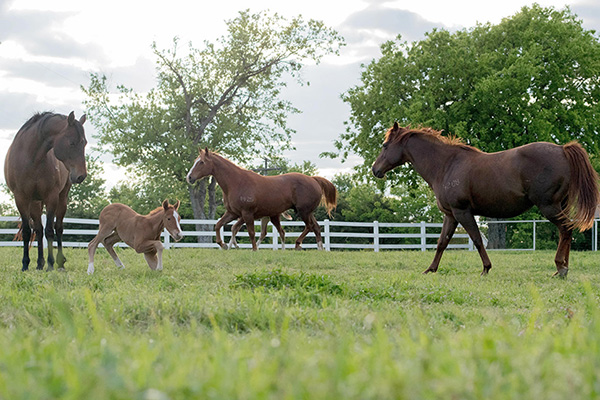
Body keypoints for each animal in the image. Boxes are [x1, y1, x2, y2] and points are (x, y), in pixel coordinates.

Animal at [4, 111, 88, 270]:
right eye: (72, 142)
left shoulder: (52, 197)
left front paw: (50, 264)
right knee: (38, 229)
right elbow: (27, 231)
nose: (81, 176)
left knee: (58, 228)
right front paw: (25, 265)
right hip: (35, 203)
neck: (32, 159)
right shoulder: (21, 199)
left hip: (61, 199)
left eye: (85, 143)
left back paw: (59, 263)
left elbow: (50, 230)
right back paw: (39, 264)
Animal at [188, 148, 338, 252]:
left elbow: (250, 232)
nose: (189, 177)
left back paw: (297, 244)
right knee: (316, 227)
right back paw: (319, 248)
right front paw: (223, 244)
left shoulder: (247, 214)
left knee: (309, 226)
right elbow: (219, 225)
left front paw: (254, 249)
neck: (236, 182)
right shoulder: (233, 213)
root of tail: (313, 179)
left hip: (303, 212)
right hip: (306, 213)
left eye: (201, 162)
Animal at [372, 123, 596, 276]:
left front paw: (486, 268)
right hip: (559, 206)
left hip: (549, 206)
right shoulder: (450, 215)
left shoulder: (462, 212)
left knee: (565, 230)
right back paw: (563, 268)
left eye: (385, 145)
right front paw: (430, 269)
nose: (375, 170)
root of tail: (562, 150)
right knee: (566, 232)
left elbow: (477, 239)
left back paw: (561, 267)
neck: (446, 165)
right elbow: (442, 242)